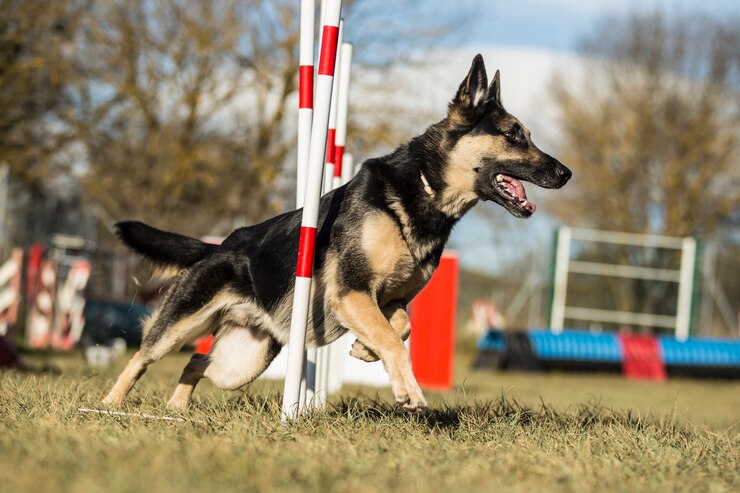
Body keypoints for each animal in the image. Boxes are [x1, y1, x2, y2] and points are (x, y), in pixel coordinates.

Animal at [101, 53, 572, 410]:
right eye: (513, 135)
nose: (566, 173)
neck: (423, 191)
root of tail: (220, 245)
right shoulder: (352, 291)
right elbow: (392, 339)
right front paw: (408, 391)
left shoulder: (388, 299)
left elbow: (400, 328)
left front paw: (363, 349)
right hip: (182, 326)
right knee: (142, 356)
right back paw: (110, 404)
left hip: (242, 364)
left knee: (198, 364)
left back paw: (177, 408)